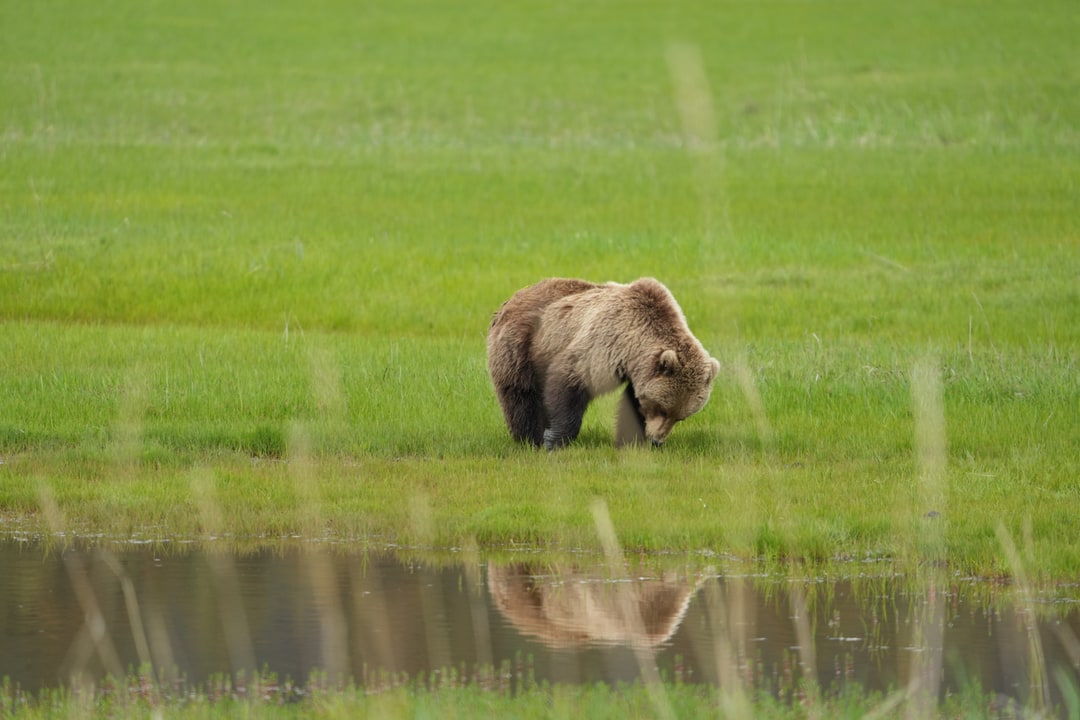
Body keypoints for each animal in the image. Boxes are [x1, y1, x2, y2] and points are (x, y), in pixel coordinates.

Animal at [486, 277, 719, 449]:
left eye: (680, 417)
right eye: (662, 409)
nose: (656, 441)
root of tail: (511, 298)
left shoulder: (637, 370)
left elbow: (632, 402)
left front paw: (632, 439)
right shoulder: (603, 343)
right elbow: (569, 382)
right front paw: (553, 439)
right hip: (523, 344)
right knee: (520, 394)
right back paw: (529, 438)